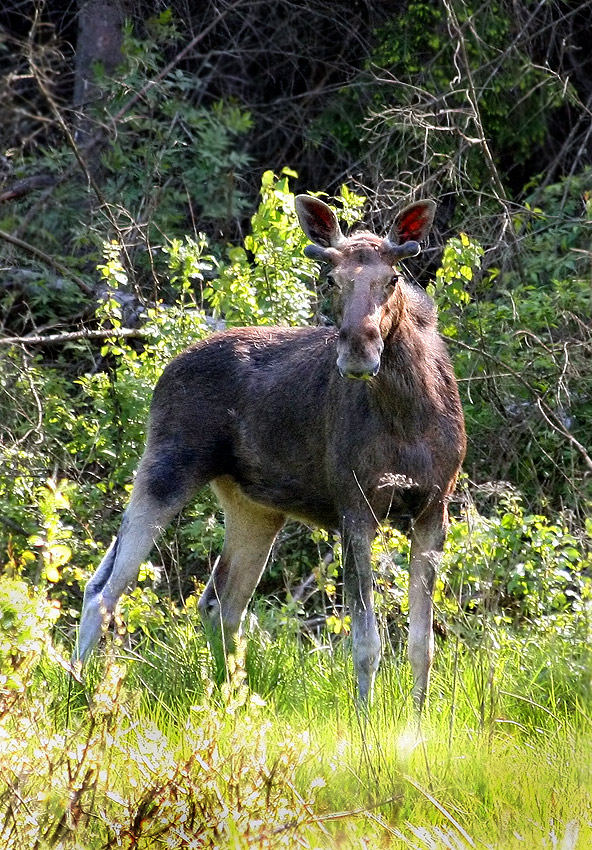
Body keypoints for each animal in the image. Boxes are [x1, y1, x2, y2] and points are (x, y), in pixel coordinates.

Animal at [74, 194, 464, 708]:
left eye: (393, 278)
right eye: (331, 278)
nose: (358, 353)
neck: (408, 415)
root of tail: (167, 367)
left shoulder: (434, 506)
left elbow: (423, 643)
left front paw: (415, 721)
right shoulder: (355, 505)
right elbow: (366, 641)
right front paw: (365, 720)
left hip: (254, 507)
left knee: (218, 601)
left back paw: (230, 700)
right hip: (167, 466)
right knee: (103, 589)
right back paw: (79, 692)